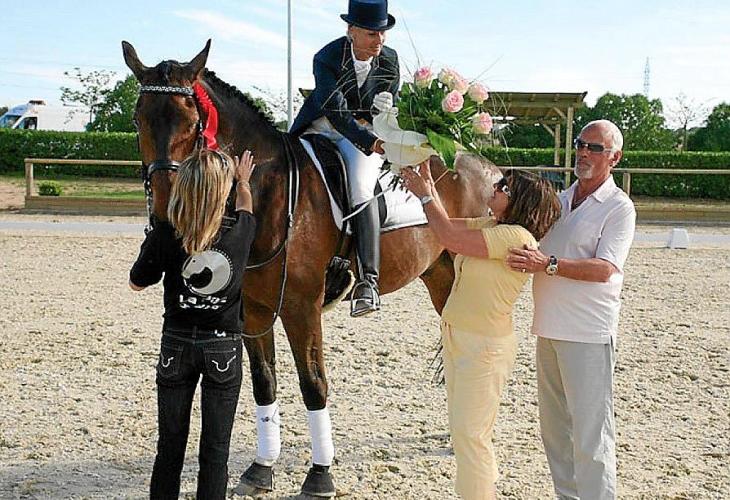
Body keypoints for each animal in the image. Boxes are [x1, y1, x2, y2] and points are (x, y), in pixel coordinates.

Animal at [122, 39, 499, 497]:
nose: (164, 213)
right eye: (138, 119)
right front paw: (261, 468)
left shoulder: (301, 307)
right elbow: (264, 381)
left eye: (192, 122)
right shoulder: (255, 311)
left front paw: (320, 474)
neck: (267, 192)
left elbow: (313, 384)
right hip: (441, 277)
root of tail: (484, 168)